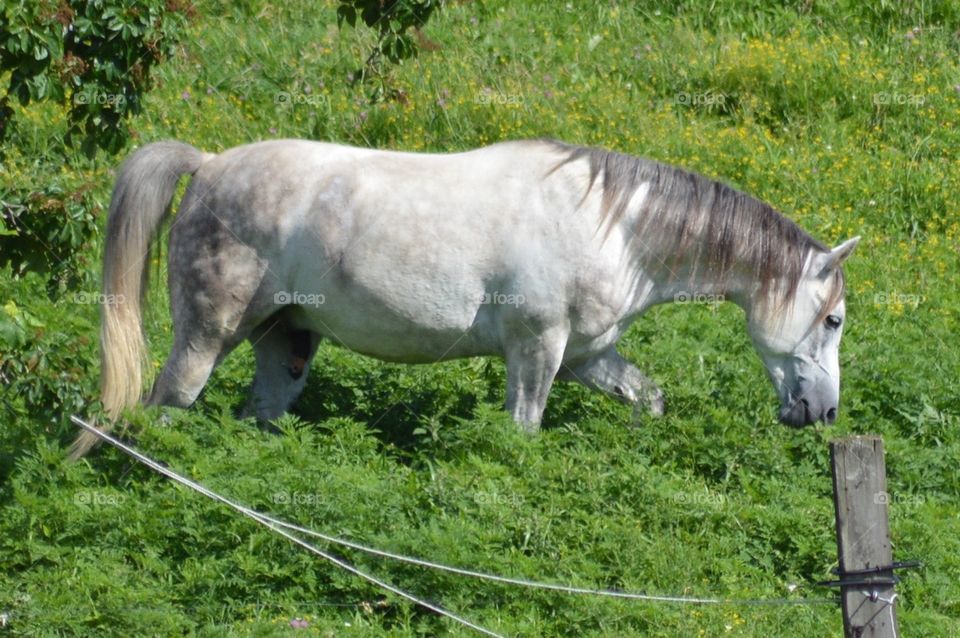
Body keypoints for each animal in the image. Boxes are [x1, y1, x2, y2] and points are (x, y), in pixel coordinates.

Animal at [71, 141, 860, 460]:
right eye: (833, 320)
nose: (820, 412)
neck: (611, 226)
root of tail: (206, 166)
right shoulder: (537, 350)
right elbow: (522, 431)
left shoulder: (588, 356)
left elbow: (649, 399)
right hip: (207, 337)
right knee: (164, 407)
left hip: (285, 341)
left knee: (258, 413)